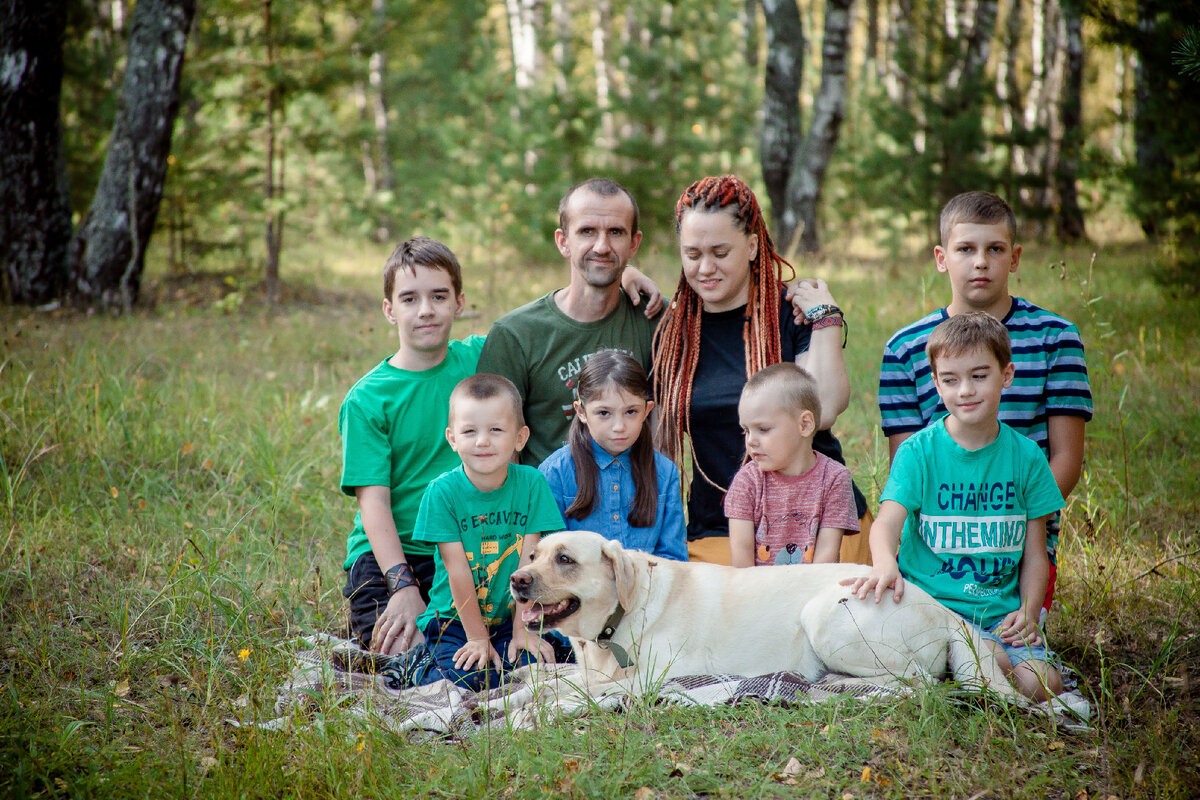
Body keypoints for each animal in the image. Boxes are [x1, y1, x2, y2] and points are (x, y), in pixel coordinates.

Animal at [506, 532, 1012, 700]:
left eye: (565, 559)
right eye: (534, 555)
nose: (516, 580)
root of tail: (943, 609)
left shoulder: (649, 680)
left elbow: (566, 690)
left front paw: (524, 705)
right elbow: (558, 677)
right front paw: (521, 684)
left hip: (824, 617)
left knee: (918, 680)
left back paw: (835, 682)